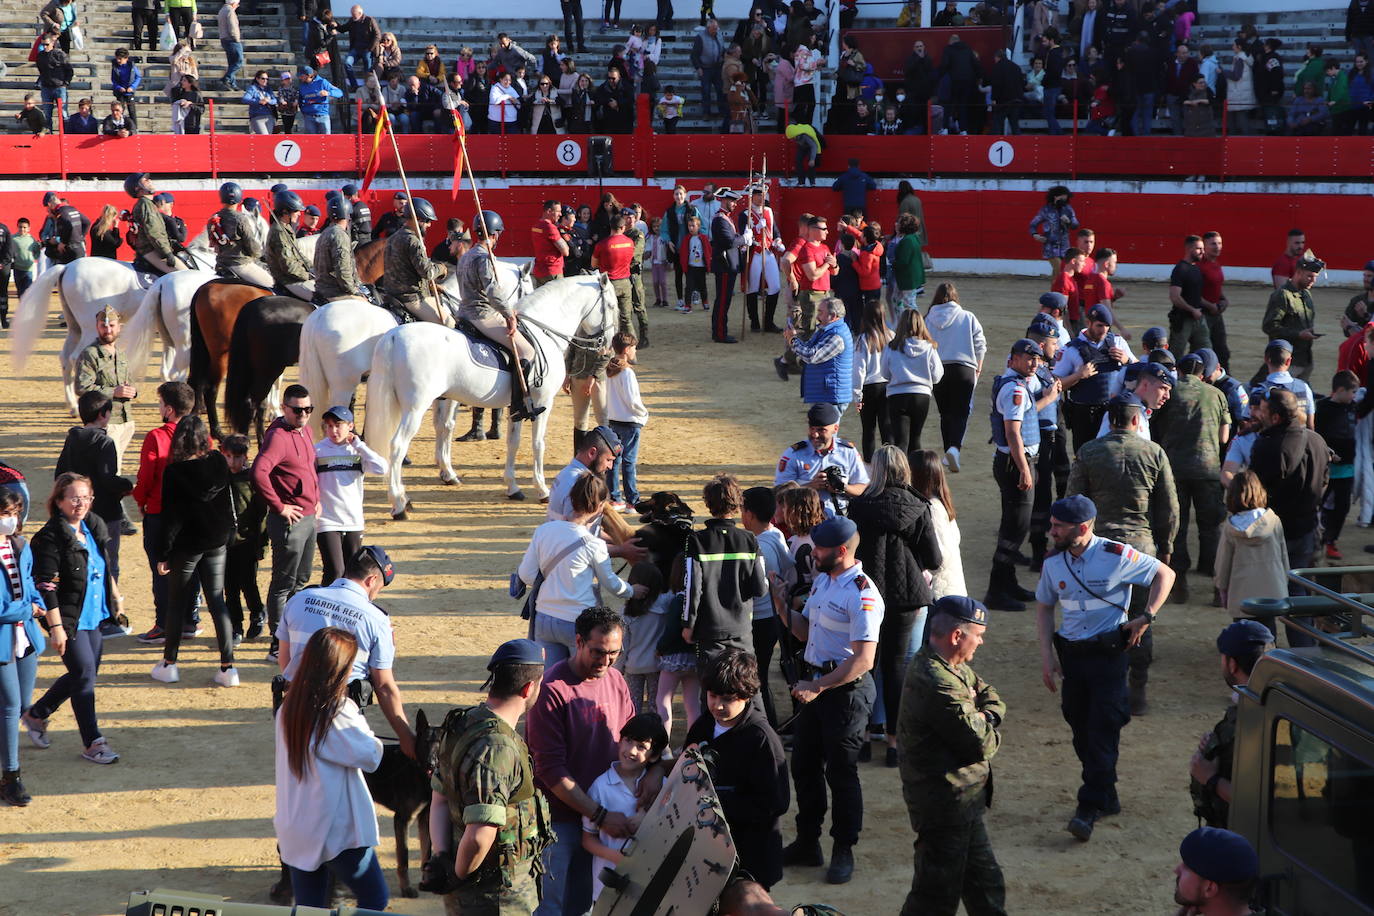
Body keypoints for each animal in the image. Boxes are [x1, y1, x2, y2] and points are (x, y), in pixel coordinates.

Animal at [10, 247, 212, 411]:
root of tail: (66, 267)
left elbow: (166, 364)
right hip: (90, 329)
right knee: (76, 358)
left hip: (75, 328)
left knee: (65, 359)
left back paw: (72, 406)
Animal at [370, 271, 618, 516]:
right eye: (611, 305)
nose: (608, 345)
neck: (543, 333)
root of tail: (392, 336)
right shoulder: (543, 403)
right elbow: (538, 445)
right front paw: (542, 490)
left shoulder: (518, 407)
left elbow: (513, 442)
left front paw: (513, 487)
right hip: (414, 409)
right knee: (397, 446)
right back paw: (399, 504)